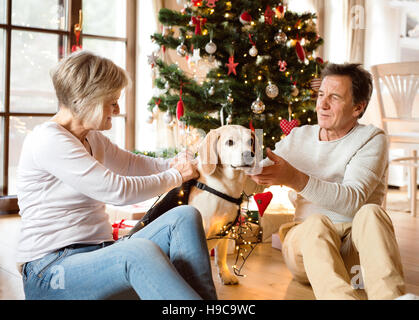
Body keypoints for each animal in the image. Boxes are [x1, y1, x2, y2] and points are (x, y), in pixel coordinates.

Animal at [191, 125, 266, 284]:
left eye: (250, 141)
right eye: (230, 142)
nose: (249, 155)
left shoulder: (225, 229)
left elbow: (221, 257)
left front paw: (225, 275)